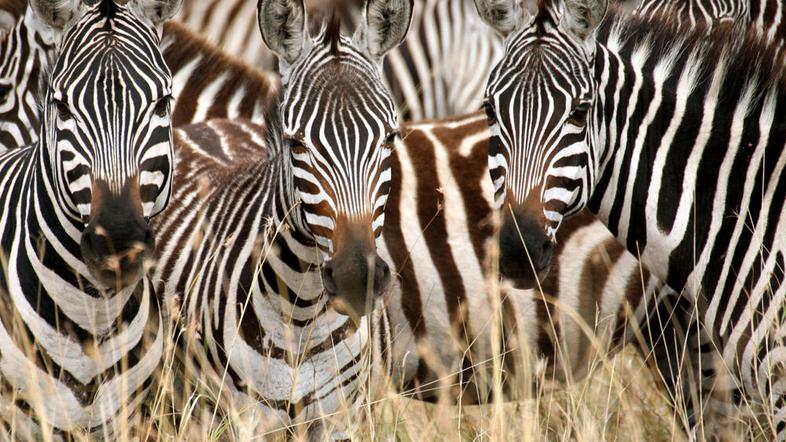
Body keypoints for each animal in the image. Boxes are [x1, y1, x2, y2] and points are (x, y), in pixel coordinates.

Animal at [151, 0, 414, 436]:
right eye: (296, 144)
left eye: (390, 138)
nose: (356, 278)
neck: (302, 315)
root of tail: (209, 126)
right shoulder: (244, 421)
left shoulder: (342, 418)